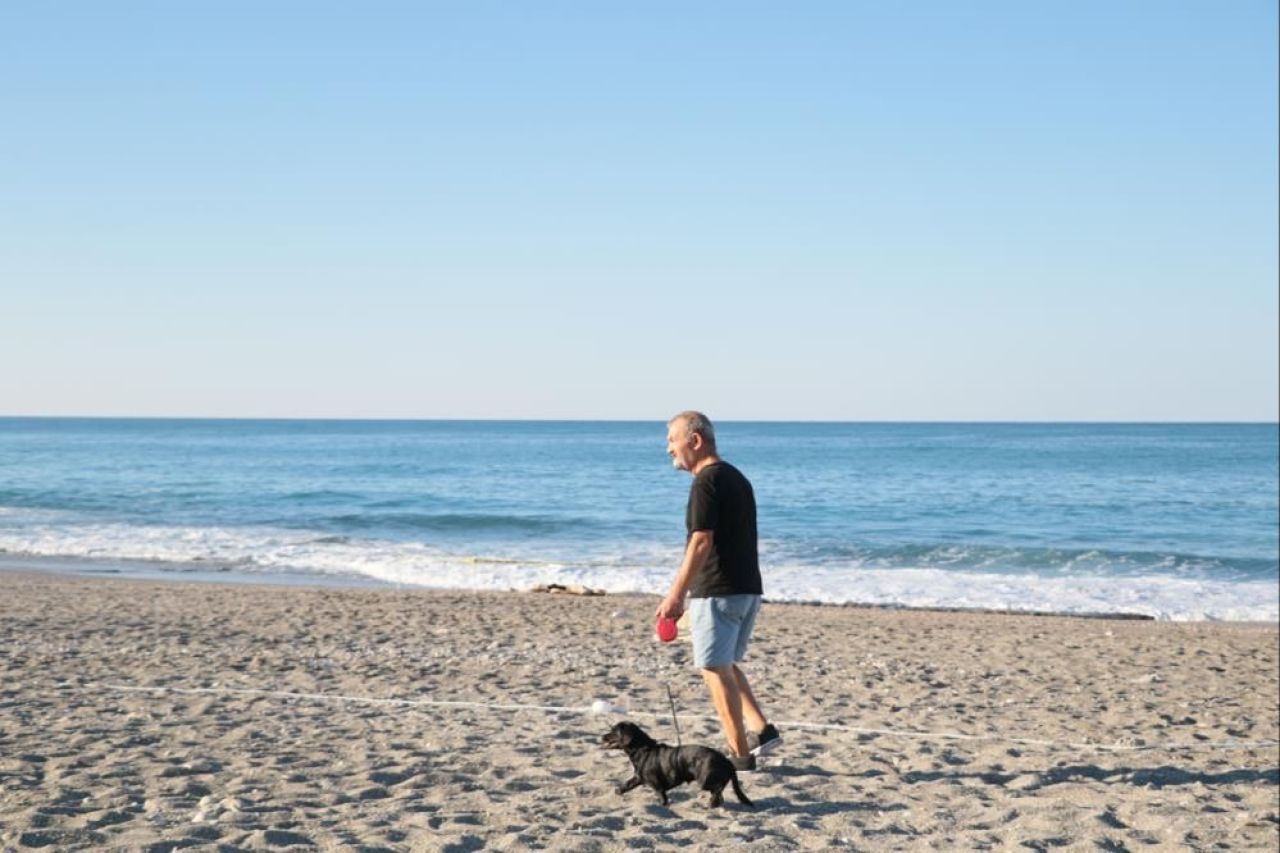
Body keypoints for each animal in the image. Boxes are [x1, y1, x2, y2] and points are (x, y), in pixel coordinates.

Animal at [596, 717, 747, 804]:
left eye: (614, 731)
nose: (602, 736)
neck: (643, 750)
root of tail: (727, 762)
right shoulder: (638, 777)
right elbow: (627, 784)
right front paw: (618, 791)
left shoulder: (657, 786)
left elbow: (662, 800)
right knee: (719, 793)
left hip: (705, 781)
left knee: (718, 790)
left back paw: (712, 803)